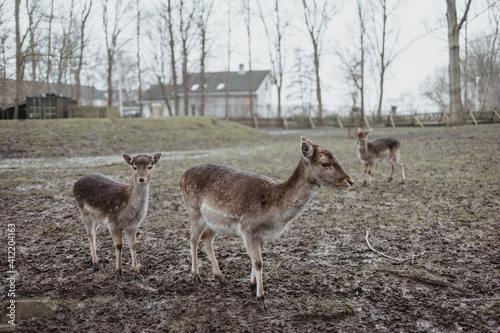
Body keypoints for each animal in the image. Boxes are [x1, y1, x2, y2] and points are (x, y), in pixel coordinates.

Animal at [180, 136, 352, 312]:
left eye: (336, 158)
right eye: (325, 163)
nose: (349, 181)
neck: (273, 215)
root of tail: (182, 175)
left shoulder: (262, 236)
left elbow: (256, 259)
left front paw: (252, 287)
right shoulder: (248, 230)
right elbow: (258, 262)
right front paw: (261, 301)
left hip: (215, 222)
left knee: (206, 236)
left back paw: (220, 277)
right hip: (194, 210)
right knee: (193, 236)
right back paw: (196, 276)